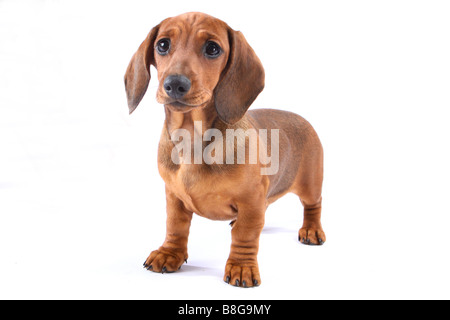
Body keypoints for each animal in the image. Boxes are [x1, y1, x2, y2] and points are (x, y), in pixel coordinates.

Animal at [125, 11, 326, 288]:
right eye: (162, 44)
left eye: (212, 48)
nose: (175, 84)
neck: (192, 138)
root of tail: (301, 117)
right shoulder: (173, 196)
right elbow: (175, 226)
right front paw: (169, 253)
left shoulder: (251, 199)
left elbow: (245, 234)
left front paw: (241, 267)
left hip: (310, 183)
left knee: (313, 205)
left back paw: (312, 229)